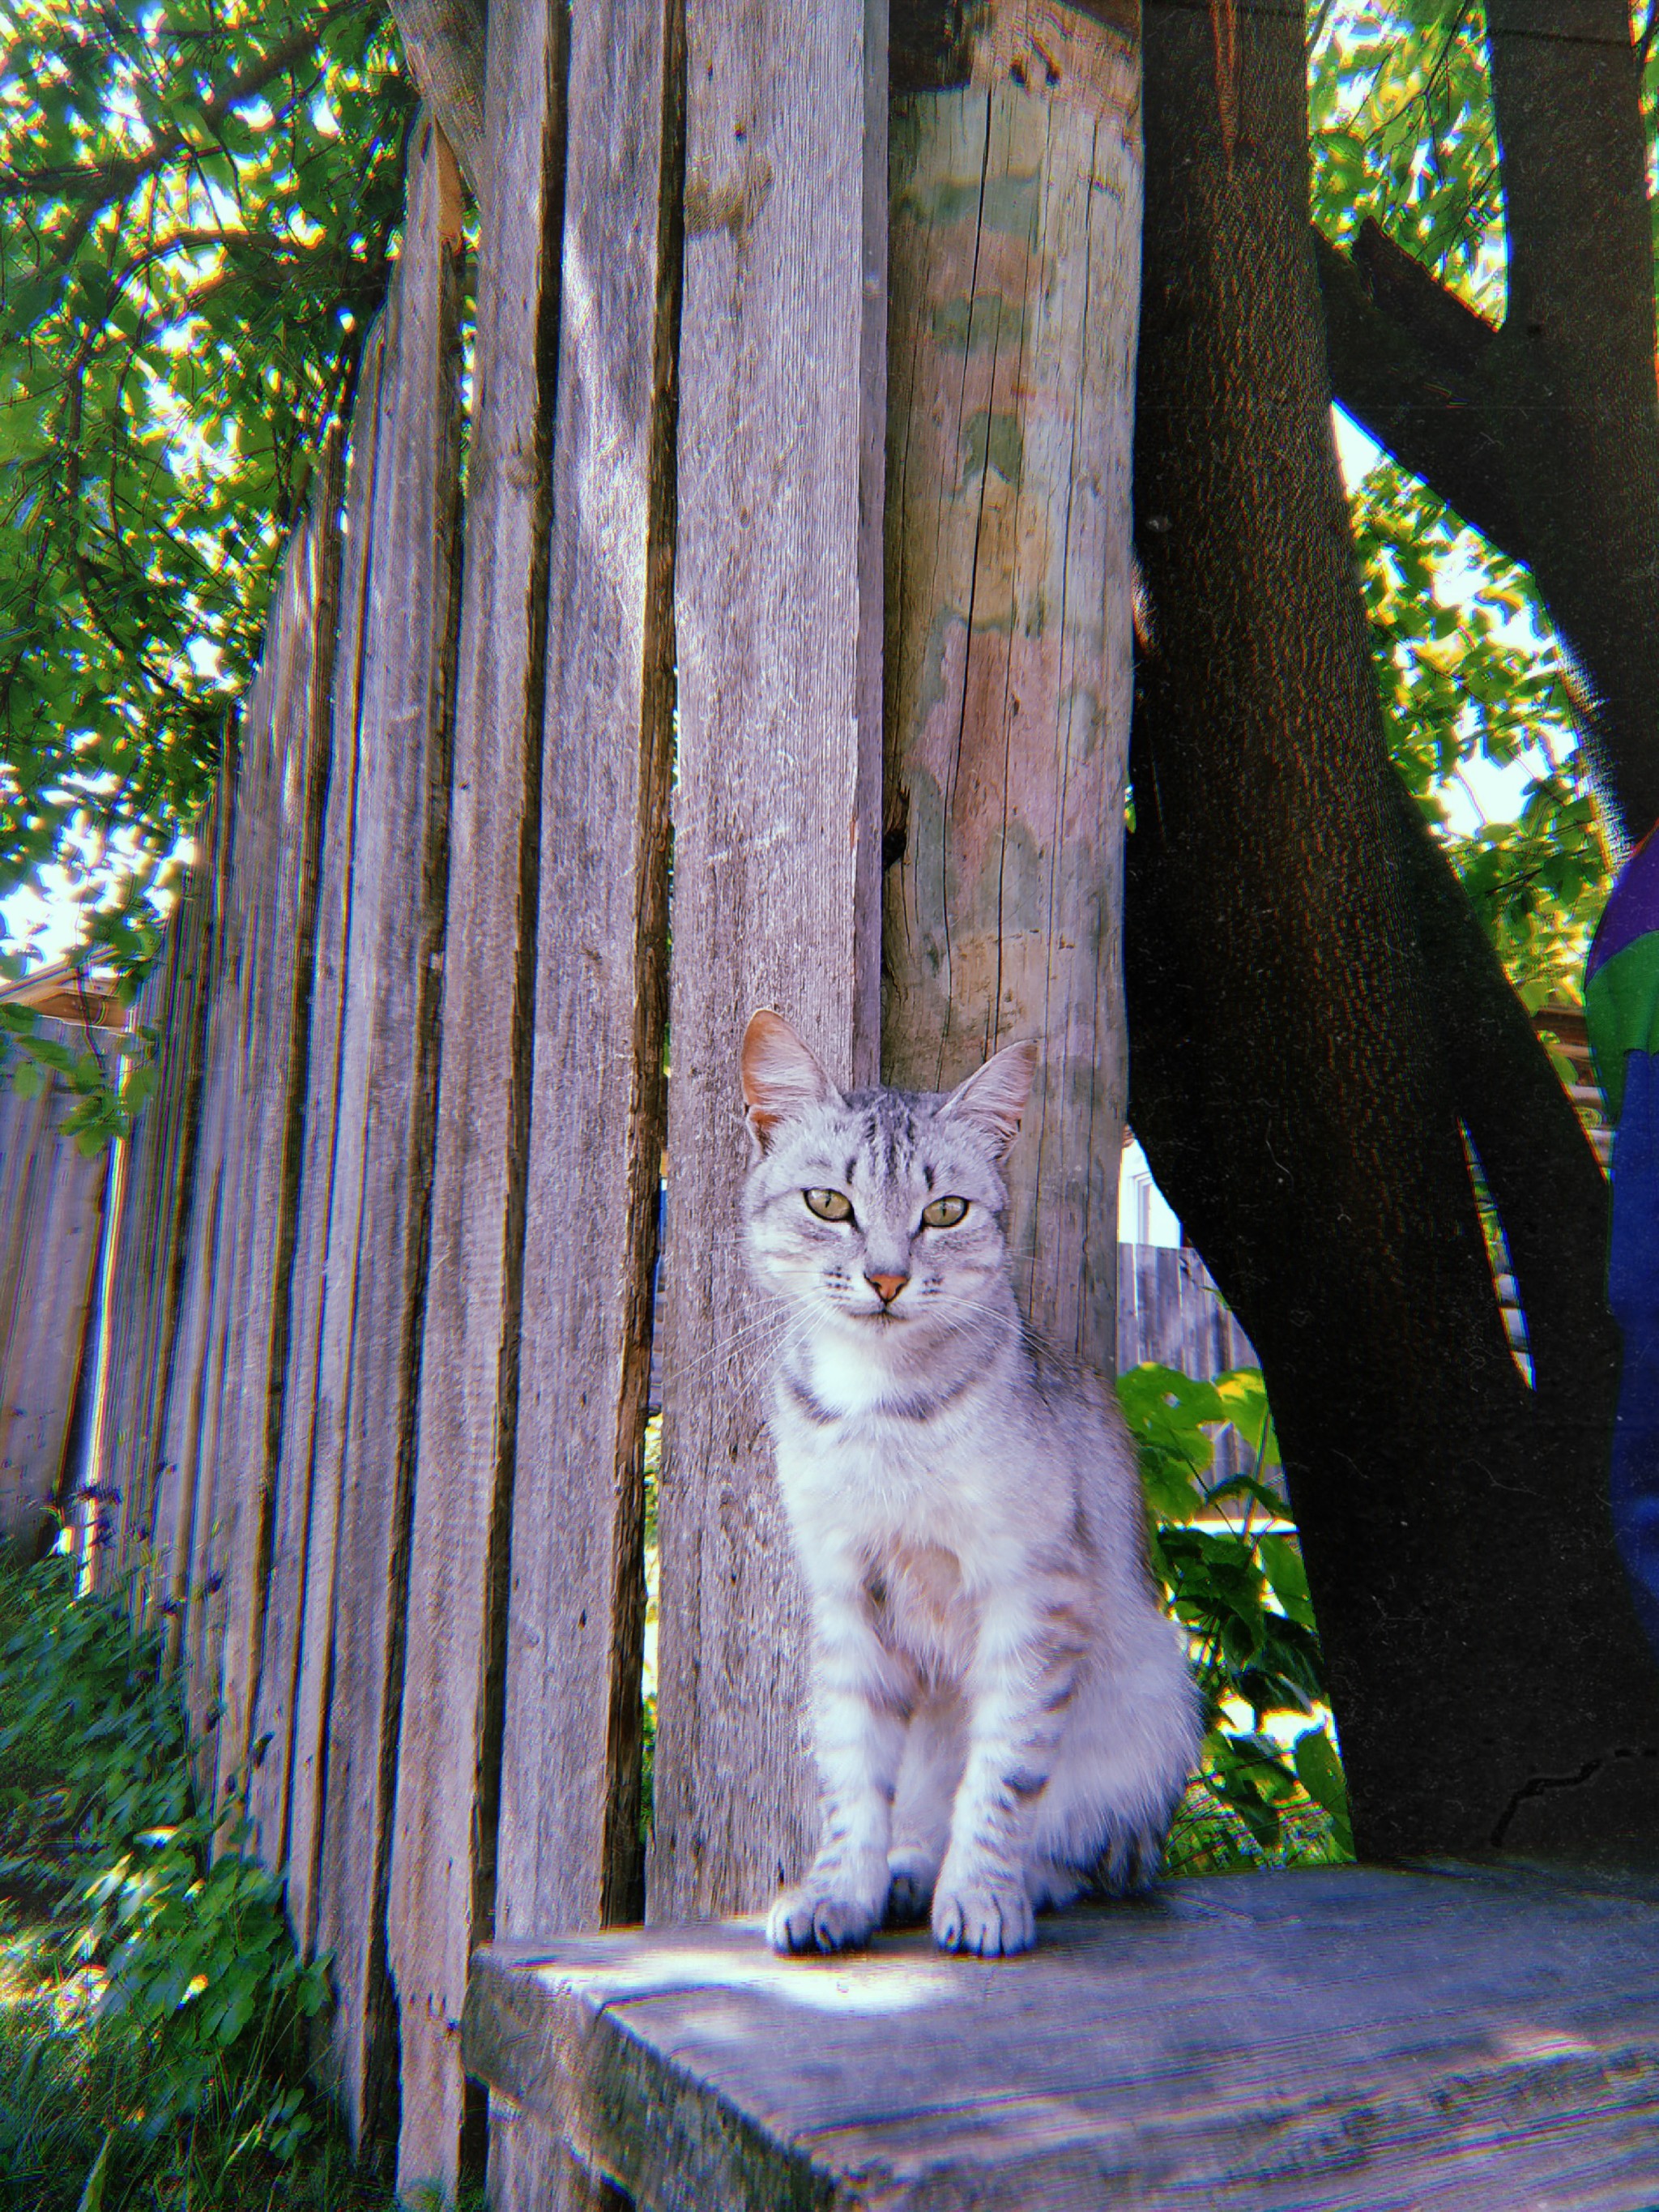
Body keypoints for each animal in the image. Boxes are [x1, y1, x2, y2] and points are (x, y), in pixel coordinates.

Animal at [747, 1013, 1203, 1964]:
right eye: (828, 1204)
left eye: (945, 1212)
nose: (886, 1279)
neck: (881, 1408)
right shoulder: (845, 1597)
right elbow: (852, 1776)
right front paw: (839, 1893)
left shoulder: (1034, 1591)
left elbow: (1003, 1774)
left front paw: (983, 1898)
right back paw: (903, 1875)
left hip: (1157, 1697)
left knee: (1090, 1852)